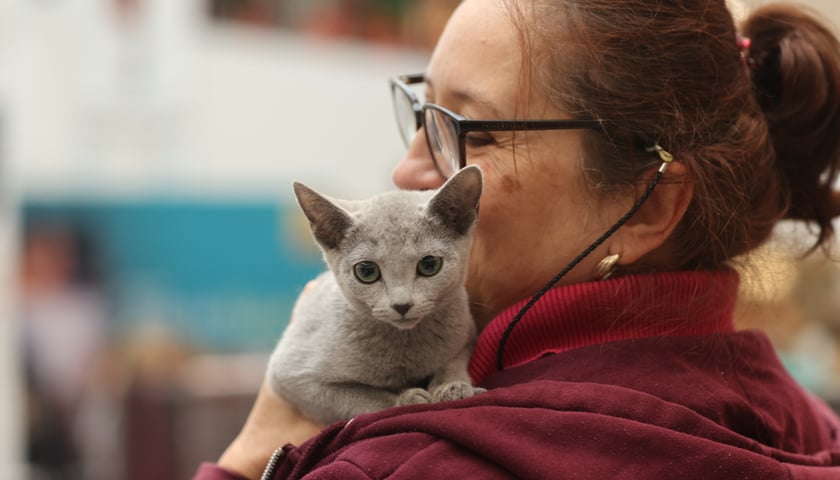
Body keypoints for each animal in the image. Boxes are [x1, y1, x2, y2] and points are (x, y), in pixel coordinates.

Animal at [270, 165, 486, 424]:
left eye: (429, 265)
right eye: (367, 271)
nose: (402, 305)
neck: (406, 346)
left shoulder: (466, 334)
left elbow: (453, 361)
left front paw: (453, 387)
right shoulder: (292, 376)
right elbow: (362, 398)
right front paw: (408, 399)